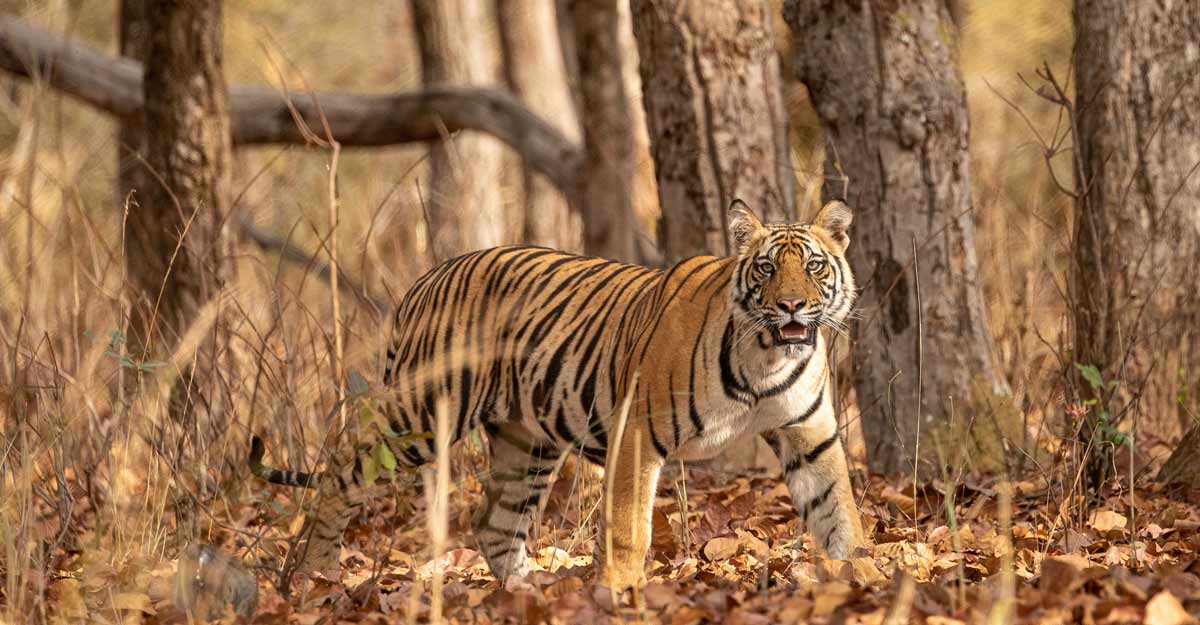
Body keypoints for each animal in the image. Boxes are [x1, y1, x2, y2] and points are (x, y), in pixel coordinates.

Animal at [253, 201, 868, 590]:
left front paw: (868, 576)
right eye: (765, 269)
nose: (792, 305)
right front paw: (620, 592)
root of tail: (424, 280)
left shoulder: (810, 435)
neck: (767, 357)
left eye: (814, 266)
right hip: (421, 414)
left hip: (525, 443)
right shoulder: (636, 435)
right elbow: (628, 530)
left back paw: (531, 593)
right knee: (341, 471)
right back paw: (313, 573)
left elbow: (839, 513)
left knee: (496, 524)